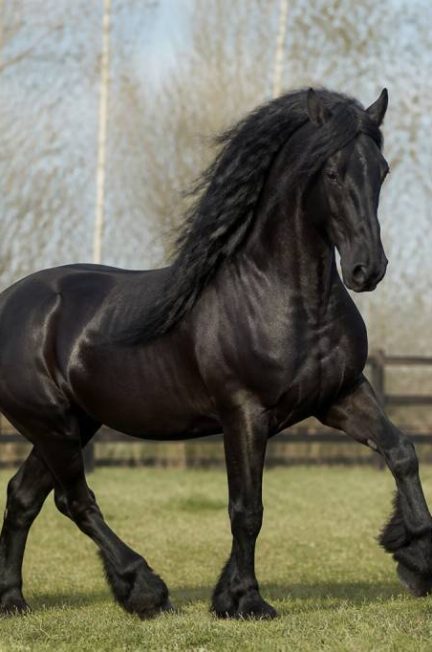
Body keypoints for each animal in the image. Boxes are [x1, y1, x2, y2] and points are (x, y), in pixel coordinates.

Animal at [1, 87, 431, 621]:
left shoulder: (341, 395)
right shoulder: (244, 412)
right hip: (52, 425)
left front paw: (416, 560)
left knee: (24, 496)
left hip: (73, 424)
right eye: (331, 172)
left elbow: (402, 452)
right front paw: (245, 599)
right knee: (75, 500)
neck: (282, 297)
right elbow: (247, 510)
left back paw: (14, 600)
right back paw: (144, 589)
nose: (367, 269)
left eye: (383, 170)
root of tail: (9, 302)